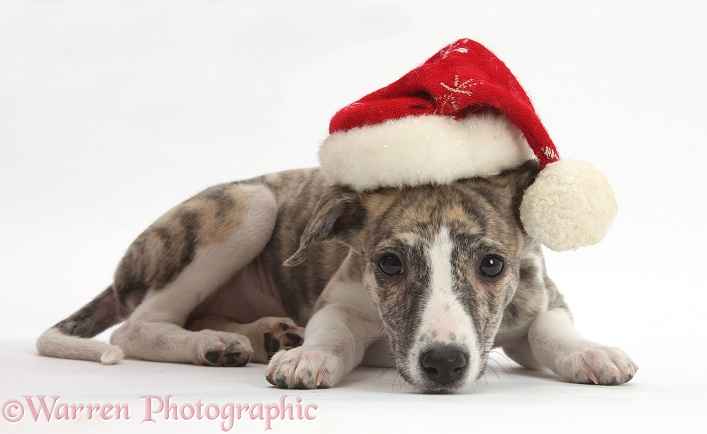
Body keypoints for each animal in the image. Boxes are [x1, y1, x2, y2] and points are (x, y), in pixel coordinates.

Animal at [36, 162, 640, 394]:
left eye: (492, 264)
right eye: (390, 264)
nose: (444, 365)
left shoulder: (536, 293)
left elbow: (551, 330)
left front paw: (592, 353)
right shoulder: (343, 299)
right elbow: (333, 333)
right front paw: (310, 357)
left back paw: (262, 335)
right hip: (247, 205)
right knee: (135, 326)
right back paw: (214, 343)